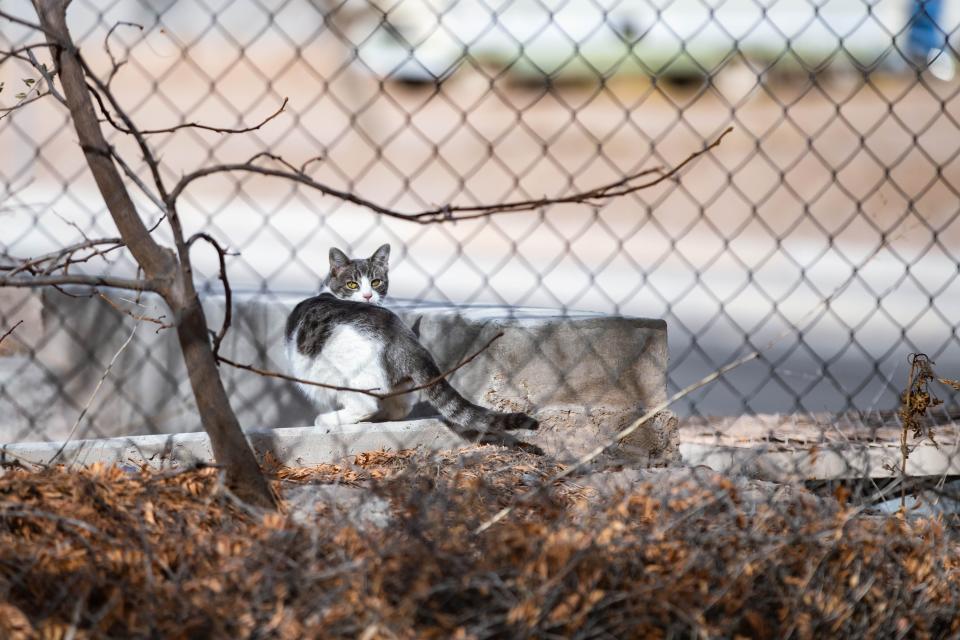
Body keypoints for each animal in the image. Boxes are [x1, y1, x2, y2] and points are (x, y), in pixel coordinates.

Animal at [284, 244, 540, 450]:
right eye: (352, 284)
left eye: (375, 282)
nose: (367, 296)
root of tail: (405, 341)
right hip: (399, 385)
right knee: (400, 408)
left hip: (337, 374)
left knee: (365, 405)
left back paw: (327, 420)